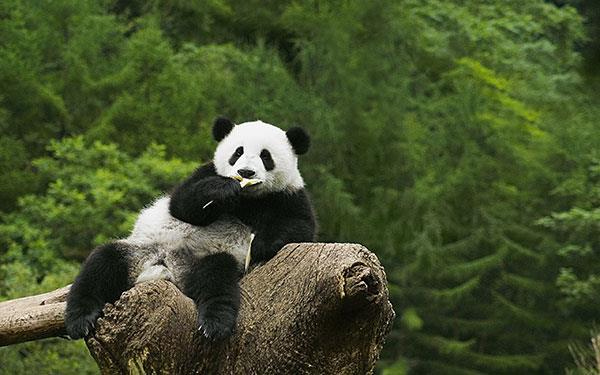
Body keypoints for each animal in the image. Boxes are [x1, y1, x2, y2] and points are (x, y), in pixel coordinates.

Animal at [64, 119, 318, 342]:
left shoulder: (289, 195)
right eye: (237, 152)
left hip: (205, 259)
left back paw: (215, 324)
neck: (248, 198)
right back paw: (80, 320)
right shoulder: (204, 173)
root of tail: (167, 267)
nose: (245, 172)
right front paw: (222, 190)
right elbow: (182, 204)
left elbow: (300, 226)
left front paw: (261, 244)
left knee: (216, 279)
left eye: (266, 156)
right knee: (102, 264)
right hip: (140, 250)